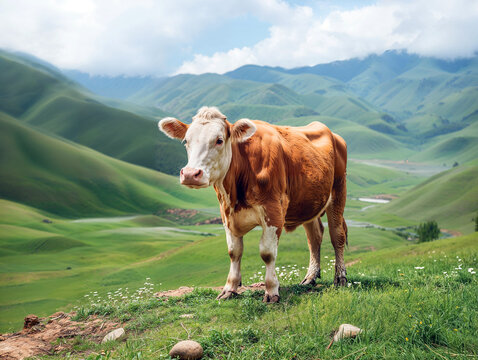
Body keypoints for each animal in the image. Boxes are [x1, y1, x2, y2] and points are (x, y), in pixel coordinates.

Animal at [159, 107, 350, 304]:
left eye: (219, 140)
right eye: (186, 141)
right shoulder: (227, 215)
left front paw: (272, 291)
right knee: (314, 237)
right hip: (308, 203)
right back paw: (310, 277)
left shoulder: (273, 213)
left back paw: (340, 278)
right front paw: (229, 288)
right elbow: (234, 252)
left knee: (337, 235)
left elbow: (267, 253)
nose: (190, 174)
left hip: (338, 190)